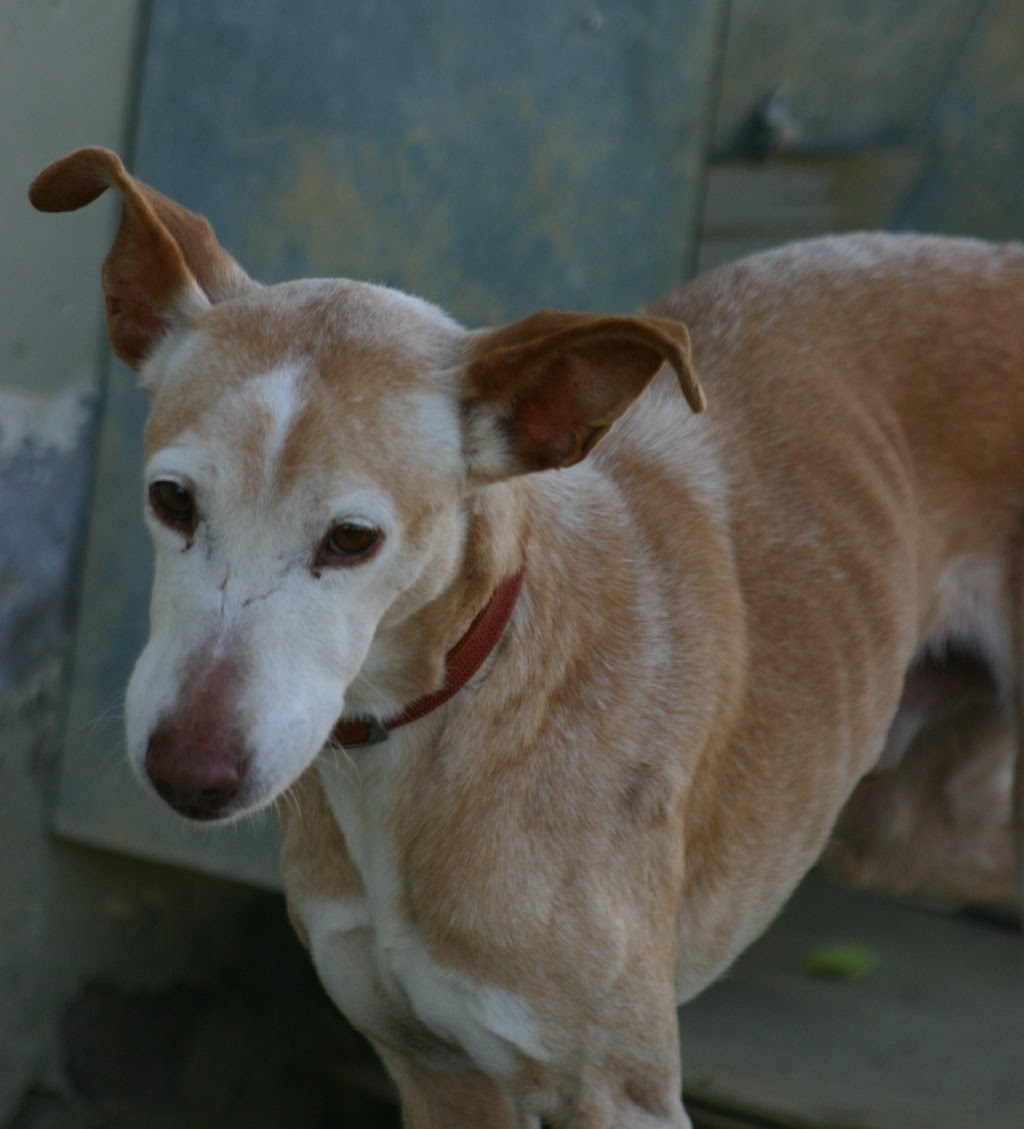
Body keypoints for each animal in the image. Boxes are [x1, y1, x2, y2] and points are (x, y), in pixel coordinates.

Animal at [31, 146, 1023, 1129]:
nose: (188, 772)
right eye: (172, 499)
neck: (429, 731)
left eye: (352, 539)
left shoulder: (619, 1095)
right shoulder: (437, 1076)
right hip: (907, 829)